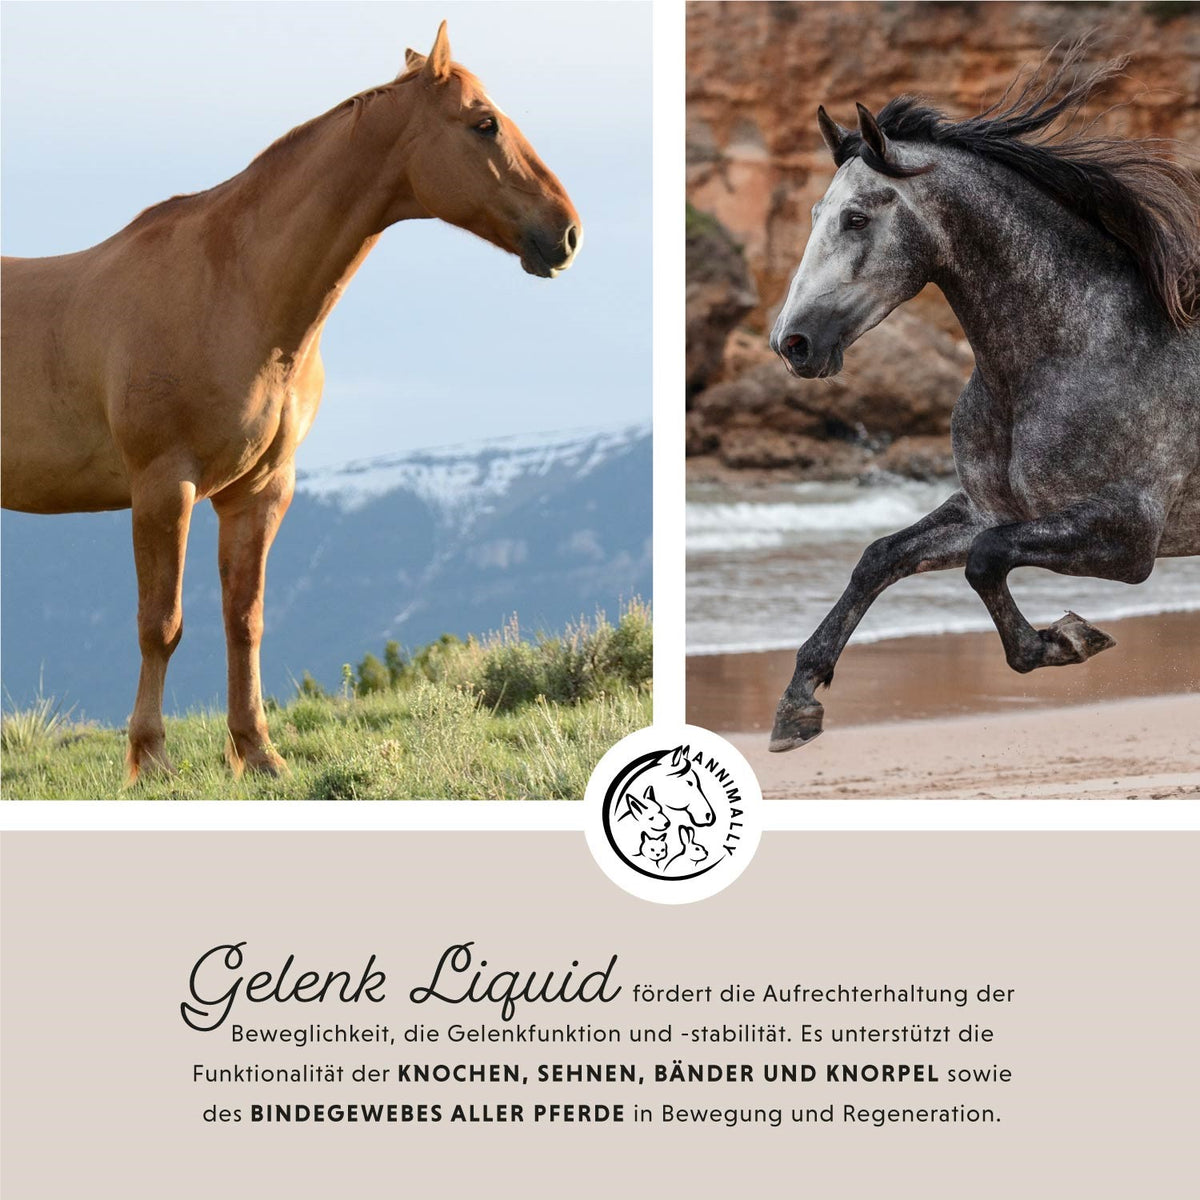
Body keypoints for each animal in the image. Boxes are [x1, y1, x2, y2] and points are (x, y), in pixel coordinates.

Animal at [0, 23, 581, 781]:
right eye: (484, 123)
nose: (566, 233)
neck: (233, 289)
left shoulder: (259, 491)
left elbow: (244, 621)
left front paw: (257, 752)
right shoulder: (163, 487)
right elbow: (161, 623)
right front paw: (150, 759)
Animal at [765, 46, 1200, 752]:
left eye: (856, 218)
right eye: (812, 217)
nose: (792, 343)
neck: (1073, 351)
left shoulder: (1128, 535)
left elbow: (984, 561)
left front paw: (1068, 639)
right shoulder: (992, 509)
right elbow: (880, 557)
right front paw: (798, 703)